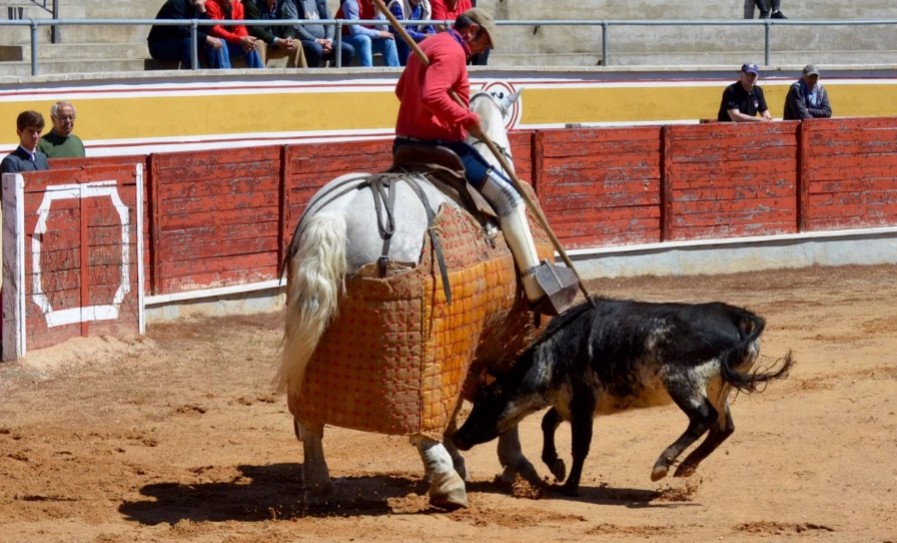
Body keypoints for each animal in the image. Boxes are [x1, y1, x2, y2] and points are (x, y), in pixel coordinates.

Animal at [276, 89, 546, 510]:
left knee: (309, 418)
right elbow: (502, 401)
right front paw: (513, 463)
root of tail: (336, 213)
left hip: (312, 333)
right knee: (422, 424)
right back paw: (448, 484)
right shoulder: (500, 339)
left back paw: (319, 483)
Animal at [453, 296, 795, 496]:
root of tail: (736, 317)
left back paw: (663, 464)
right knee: (724, 426)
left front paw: (570, 485)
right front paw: (556, 466)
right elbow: (547, 424)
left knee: (703, 418)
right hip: (717, 386)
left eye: (487, 400)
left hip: (681, 381)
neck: (552, 353)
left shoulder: (582, 405)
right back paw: (686, 467)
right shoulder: (567, 403)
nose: (458, 436)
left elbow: (579, 445)